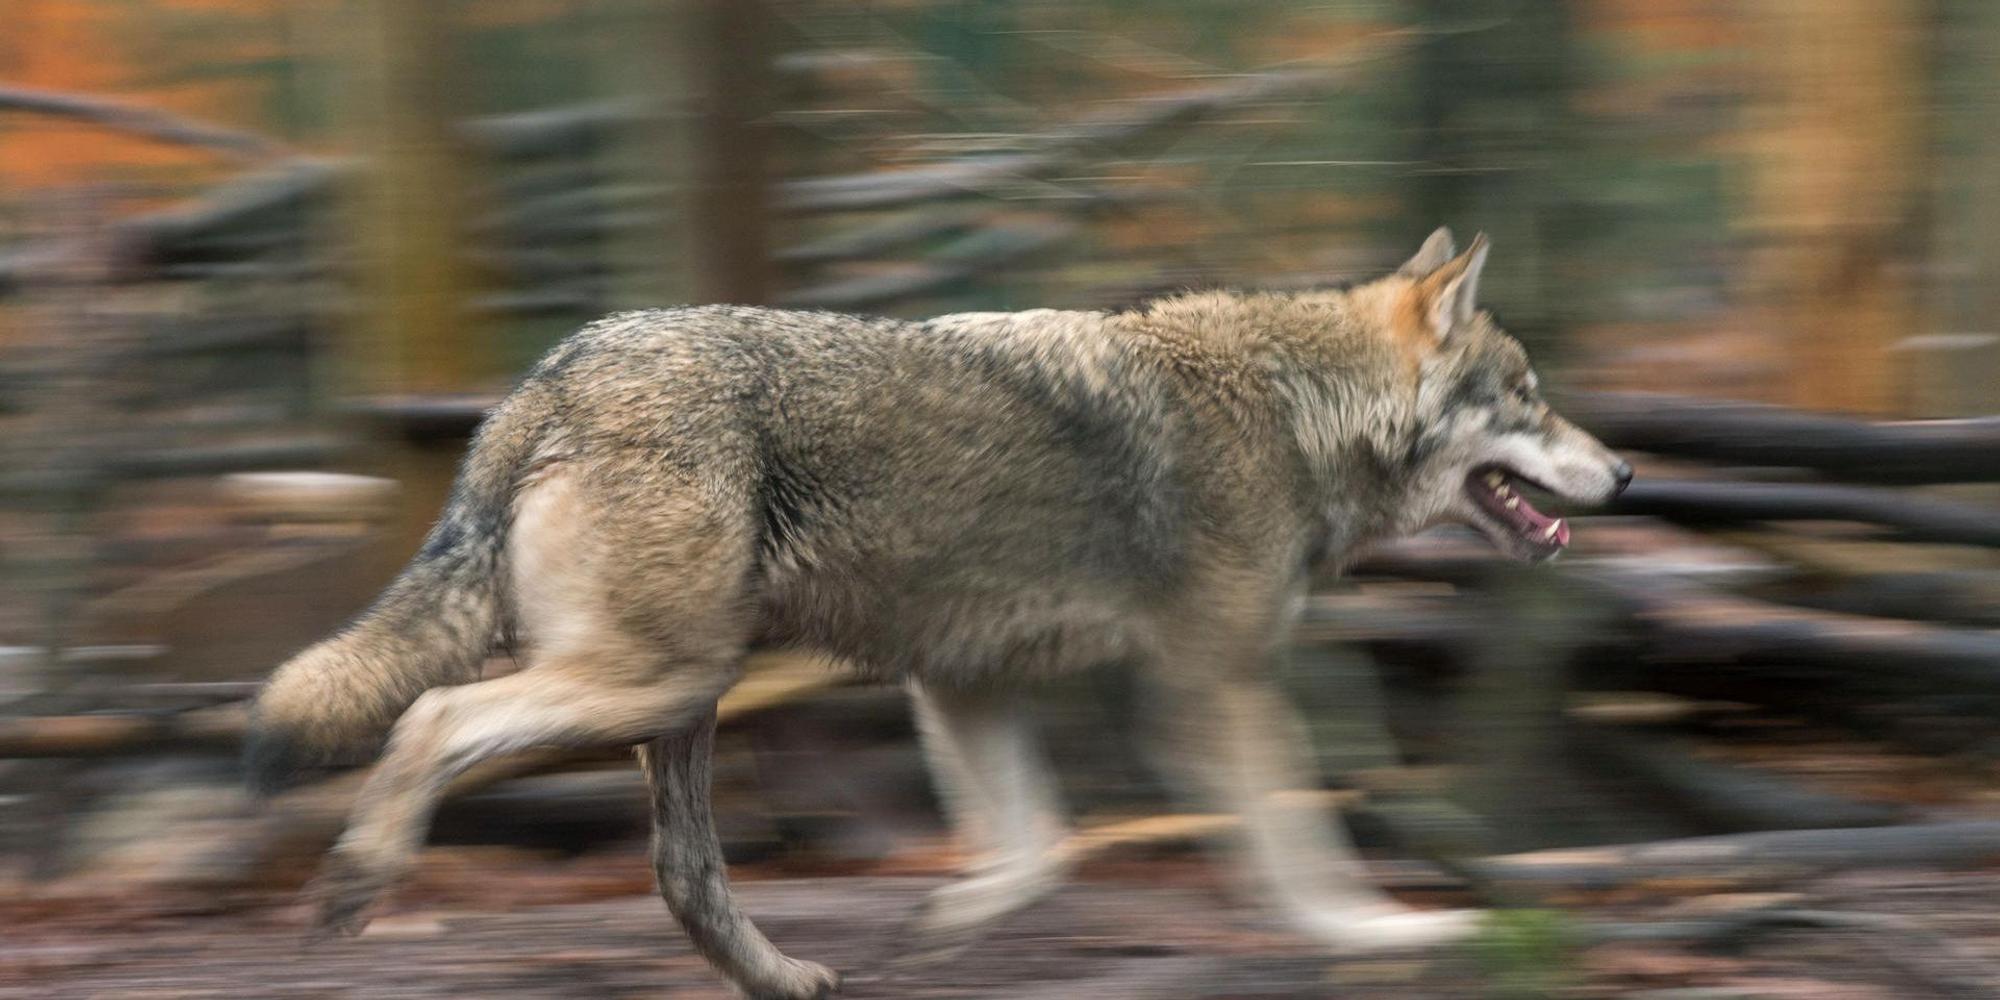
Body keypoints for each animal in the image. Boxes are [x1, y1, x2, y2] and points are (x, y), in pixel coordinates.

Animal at [245, 228, 1630, 998]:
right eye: (1526, 396)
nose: (1621, 474)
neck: (1296, 411)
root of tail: (551, 375)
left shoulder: (963, 679)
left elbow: (1035, 848)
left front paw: (948, 923)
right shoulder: (1212, 684)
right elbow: (1296, 848)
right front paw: (1373, 929)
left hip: (681, 699)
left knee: (682, 877)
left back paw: (785, 981)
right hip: (651, 682)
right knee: (430, 717)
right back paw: (355, 882)